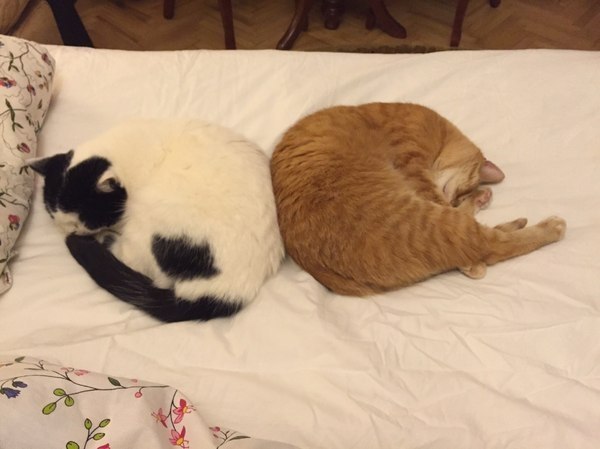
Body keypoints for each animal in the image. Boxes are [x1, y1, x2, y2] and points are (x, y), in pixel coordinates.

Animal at [30, 119, 284, 322]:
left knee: (141, 265)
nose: (74, 232)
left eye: (88, 222)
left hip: (150, 215)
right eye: (57, 219)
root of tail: (227, 290)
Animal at [270, 102, 566, 296]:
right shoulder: (415, 166)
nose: (458, 199)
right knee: (493, 245)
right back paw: (548, 226)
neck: (439, 133)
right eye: (463, 190)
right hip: (438, 220)